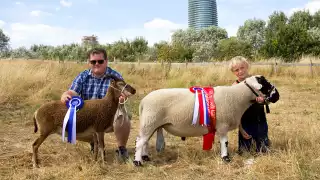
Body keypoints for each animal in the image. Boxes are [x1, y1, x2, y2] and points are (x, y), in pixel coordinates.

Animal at [132, 74, 278, 166]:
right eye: (265, 83)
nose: (277, 96)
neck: (237, 96)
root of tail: (143, 101)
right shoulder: (223, 125)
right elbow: (224, 142)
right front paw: (226, 158)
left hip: (151, 123)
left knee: (144, 141)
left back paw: (145, 157)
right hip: (150, 121)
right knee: (140, 142)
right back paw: (138, 162)